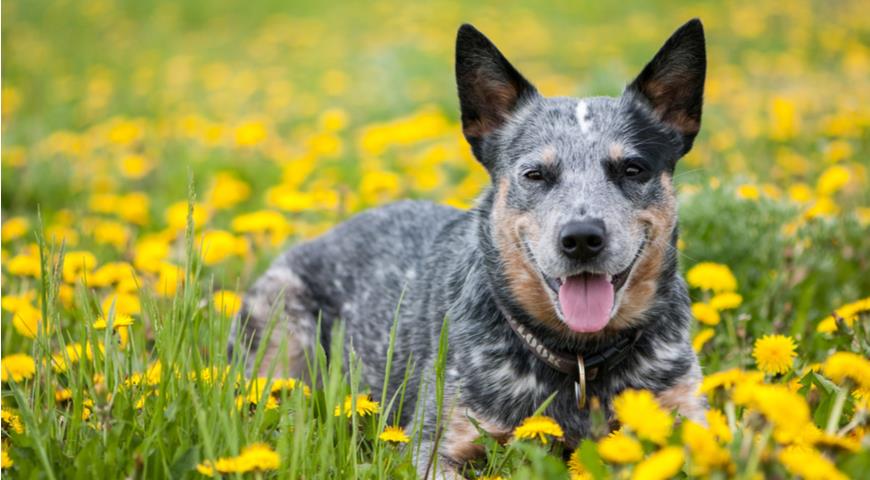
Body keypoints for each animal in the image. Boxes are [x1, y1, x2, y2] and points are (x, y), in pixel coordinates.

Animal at [230, 17, 708, 476]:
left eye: (633, 168)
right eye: (534, 174)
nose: (582, 238)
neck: (579, 361)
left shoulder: (689, 415)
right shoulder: (437, 445)